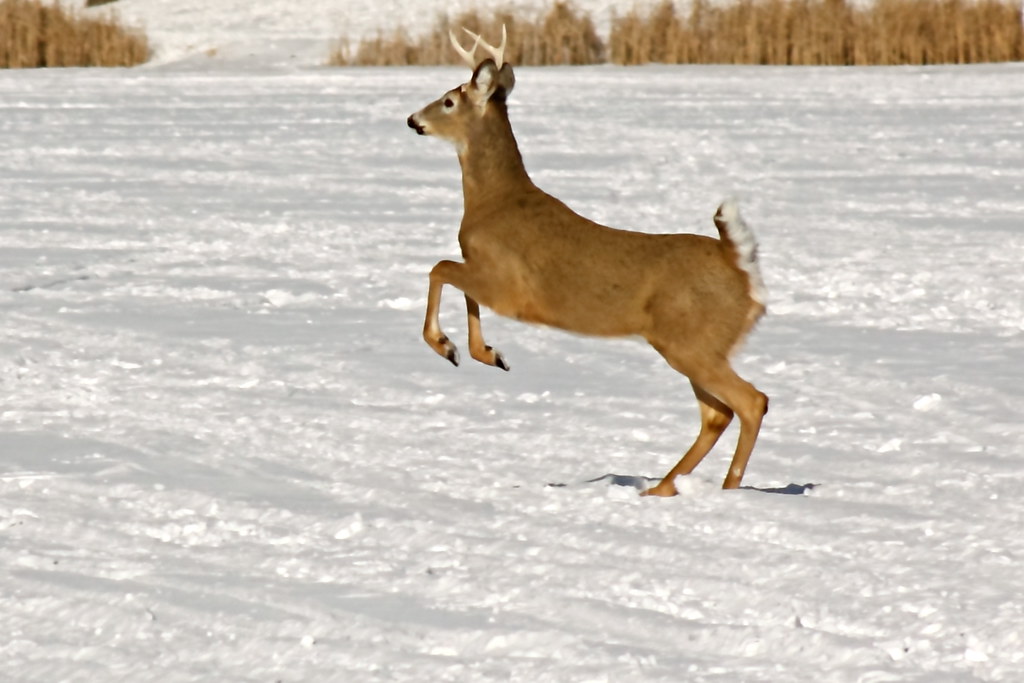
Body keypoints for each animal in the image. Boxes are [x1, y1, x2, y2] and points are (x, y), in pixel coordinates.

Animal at [406, 26, 769, 495]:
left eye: (450, 100)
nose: (413, 120)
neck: (494, 202)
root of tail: (740, 265)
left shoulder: (510, 288)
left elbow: (440, 268)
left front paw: (445, 346)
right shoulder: (489, 275)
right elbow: (461, 288)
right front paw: (487, 353)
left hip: (692, 341)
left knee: (751, 401)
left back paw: (725, 489)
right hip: (694, 344)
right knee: (716, 414)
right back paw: (659, 489)